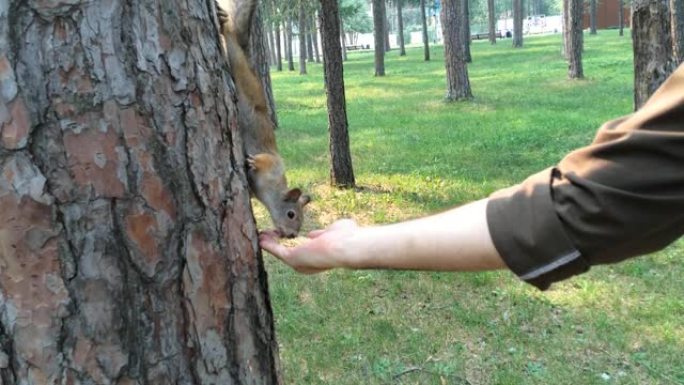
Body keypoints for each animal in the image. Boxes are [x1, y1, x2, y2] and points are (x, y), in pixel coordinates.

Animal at [216, 0, 310, 237]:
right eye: (291, 214)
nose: (291, 235)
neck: (272, 189)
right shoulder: (274, 163)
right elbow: (265, 160)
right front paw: (253, 161)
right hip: (242, 72)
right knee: (232, 46)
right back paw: (224, 26)